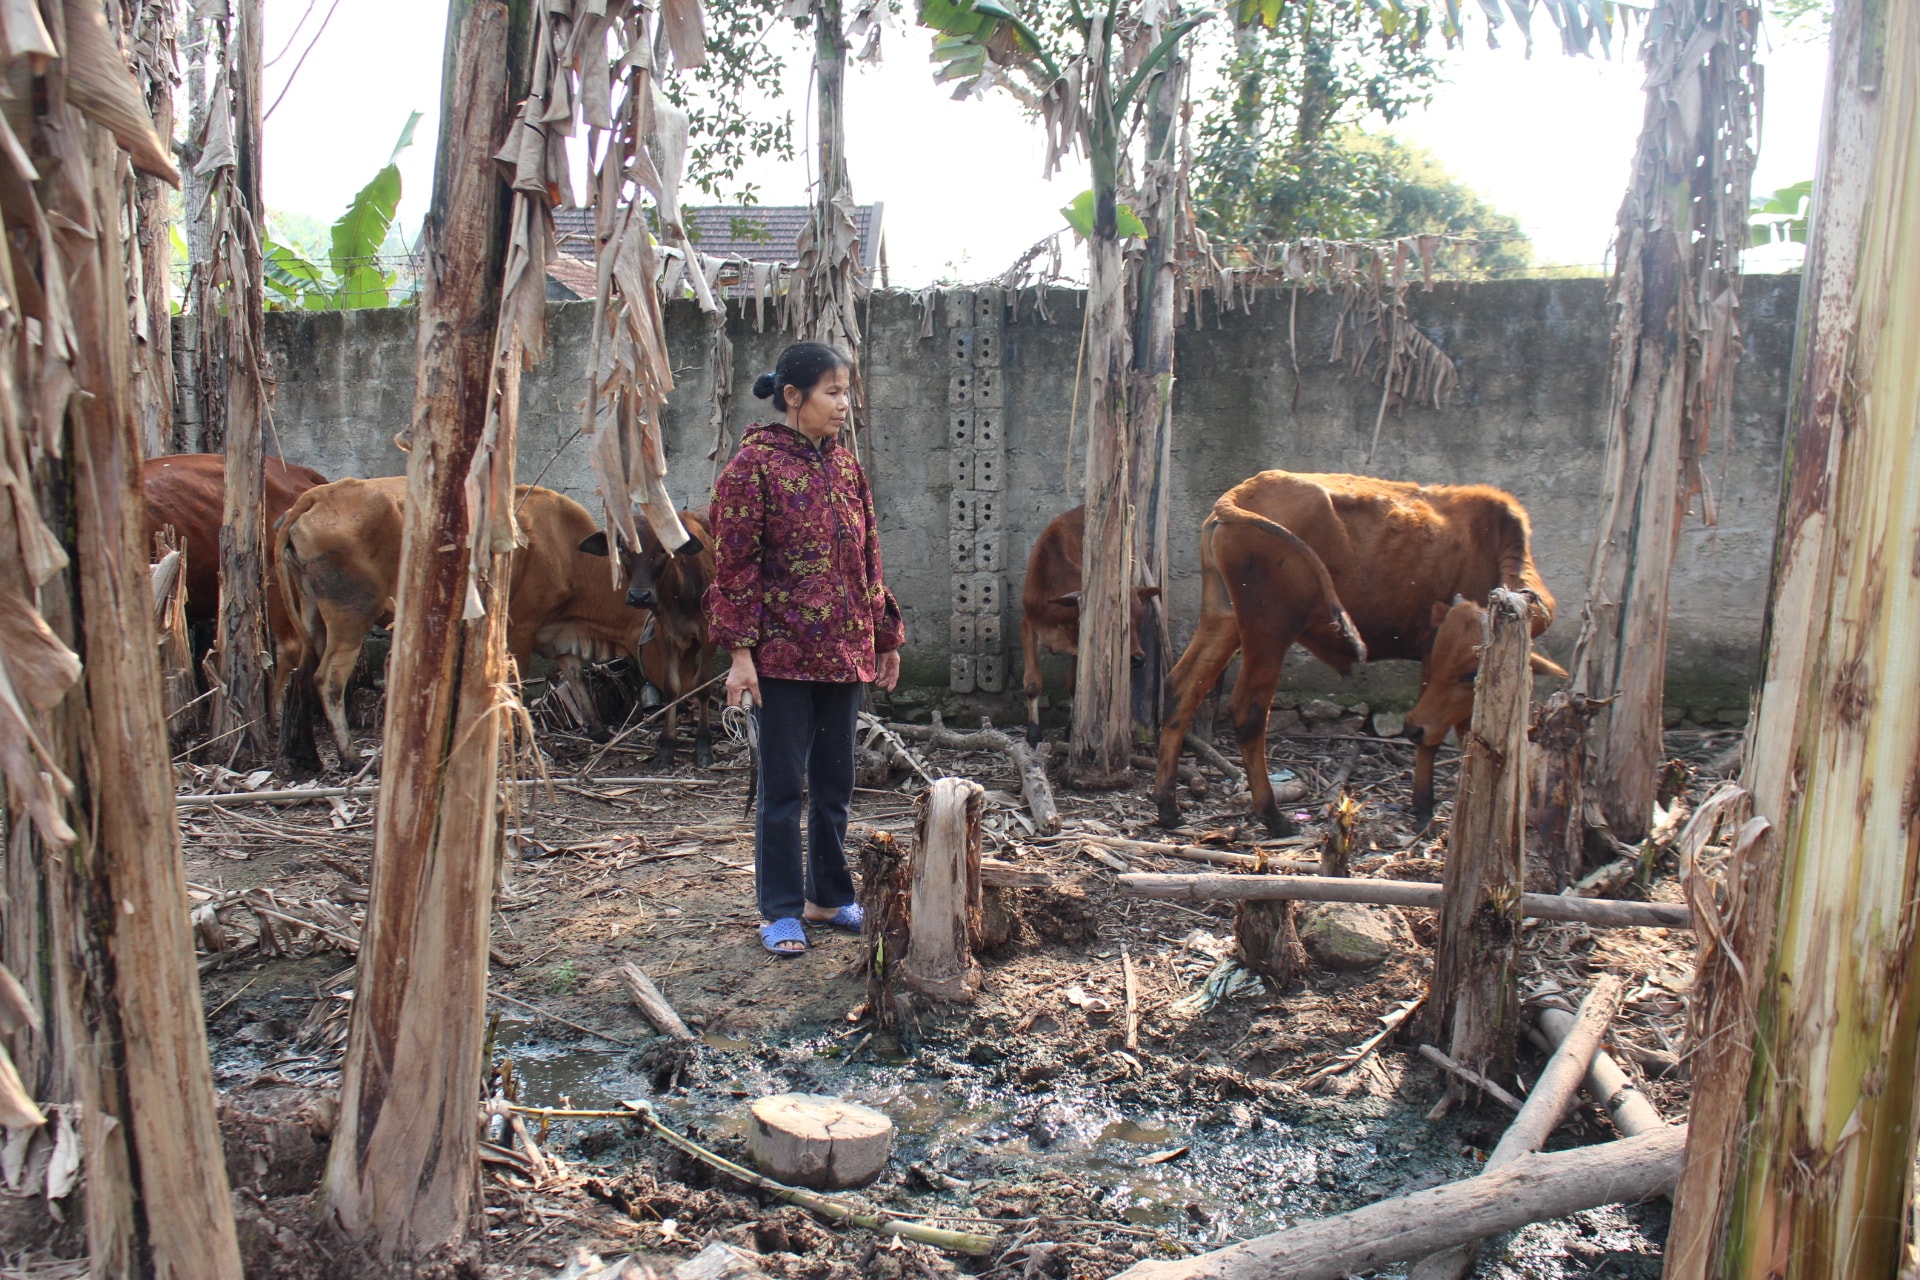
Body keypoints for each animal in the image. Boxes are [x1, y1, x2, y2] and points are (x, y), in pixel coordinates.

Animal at [274, 477, 656, 759]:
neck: (568, 553)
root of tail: (316, 495)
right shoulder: (519, 627)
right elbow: (514, 685)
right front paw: (518, 742)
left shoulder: (557, 631)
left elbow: (575, 676)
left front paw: (597, 728)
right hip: (351, 616)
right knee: (328, 680)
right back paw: (349, 757)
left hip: (313, 615)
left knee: (307, 672)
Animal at [579, 510, 718, 771]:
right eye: (622, 547)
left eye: (663, 548)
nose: (639, 596)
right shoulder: (665, 633)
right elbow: (672, 686)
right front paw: (666, 747)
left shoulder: (708, 634)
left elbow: (703, 685)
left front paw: (703, 745)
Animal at [1013, 506, 1159, 752]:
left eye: (1139, 619)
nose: (1139, 658)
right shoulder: (1028, 626)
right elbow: (1033, 683)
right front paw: (1033, 734)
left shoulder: (1079, 642)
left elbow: (1076, 686)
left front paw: (1072, 731)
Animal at [1152, 475, 1559, 836]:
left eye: (1470, 673)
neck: (1494, 544)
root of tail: (1240, 493)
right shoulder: (1433, 656)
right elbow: (1439, 734)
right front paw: (1426, 806)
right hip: (1270, 630)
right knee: (1247, 712)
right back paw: (1273, 816)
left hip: (1224, 619)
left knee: (1180, 690)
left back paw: (1168, 807)